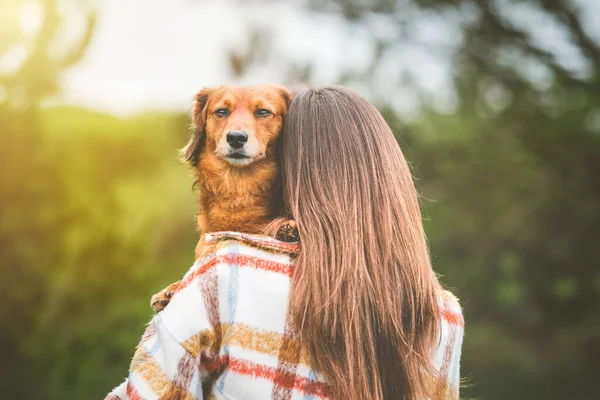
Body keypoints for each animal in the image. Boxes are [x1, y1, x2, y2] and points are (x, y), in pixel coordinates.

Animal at [151, 84, 294, 312]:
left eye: (263, 111)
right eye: (221, 111)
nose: (236, 138)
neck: (238, 187)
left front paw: (286, 228)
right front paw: (169, 290)